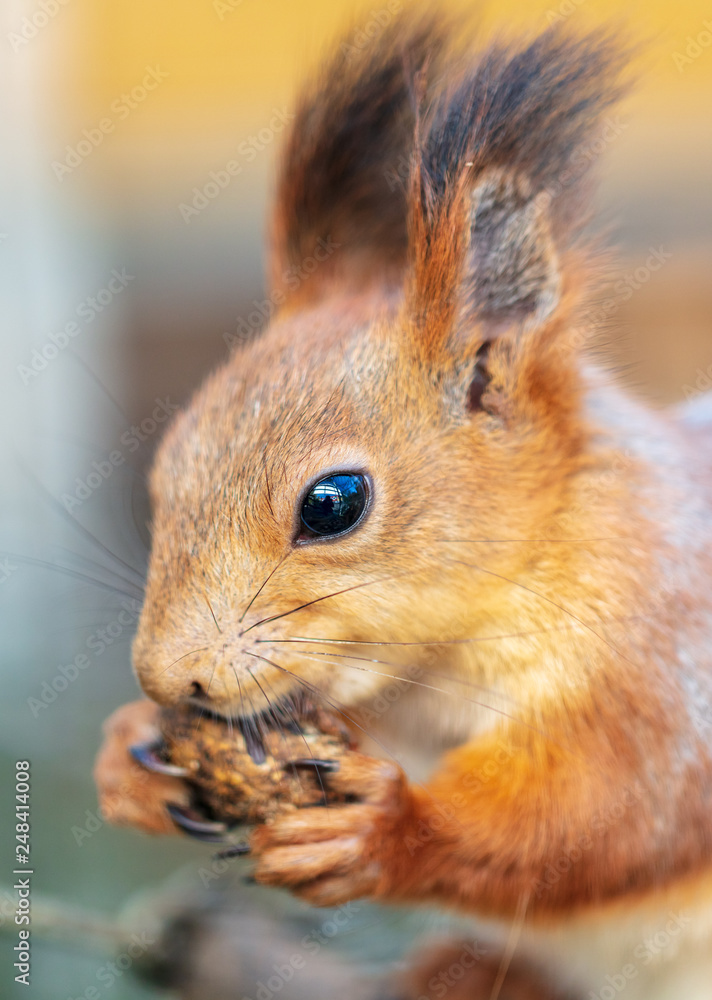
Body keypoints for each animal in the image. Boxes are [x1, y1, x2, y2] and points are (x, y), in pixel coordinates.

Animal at [94, 9, 712, 1000]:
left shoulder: (663, 654)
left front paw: (386, 834)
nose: (164, 678)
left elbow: (616, 810)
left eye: (333, 503)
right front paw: (129, 754)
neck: (443, 663)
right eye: (169, 462)